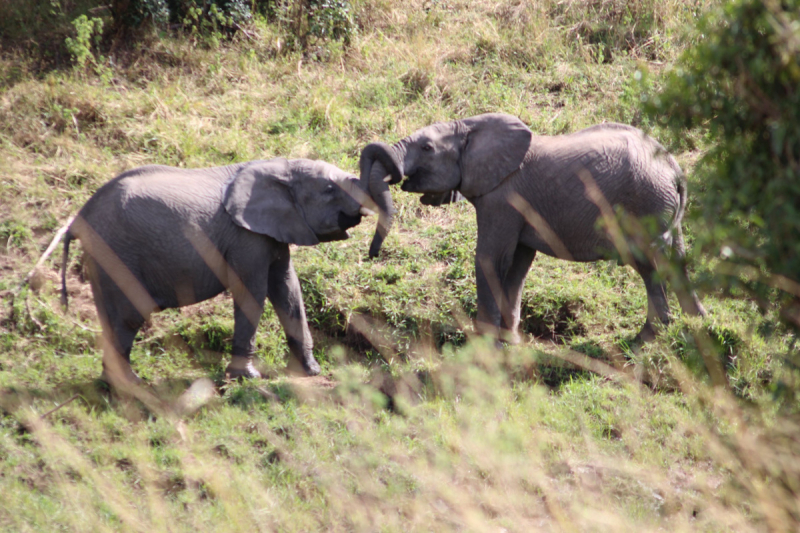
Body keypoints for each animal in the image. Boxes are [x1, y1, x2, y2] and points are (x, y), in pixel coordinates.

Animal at [58, 156, 388, 384]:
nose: (373, 252)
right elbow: (252, 291)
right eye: (330, 189)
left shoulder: (271, 232)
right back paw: (130, 385)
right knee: (128, 316)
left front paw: (309, 371)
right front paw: (247, 377)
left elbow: (287, 288)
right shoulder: (245, 237)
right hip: (116, 253)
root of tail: (79, 218)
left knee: (114, 319)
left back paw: (115, 385)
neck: (279, 166)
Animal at [360, 114, 708, 342]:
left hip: (643, 205)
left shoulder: (502, 198)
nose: (372, 255)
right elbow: (518, 265)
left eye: (427, 148)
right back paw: (697, 324)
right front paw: (509, 339)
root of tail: (674, 168)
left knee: (648, 264)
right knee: (675, 259)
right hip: (663, 208)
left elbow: (490, 258)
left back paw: (645, 340)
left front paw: (484, 342)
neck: (471, 126)